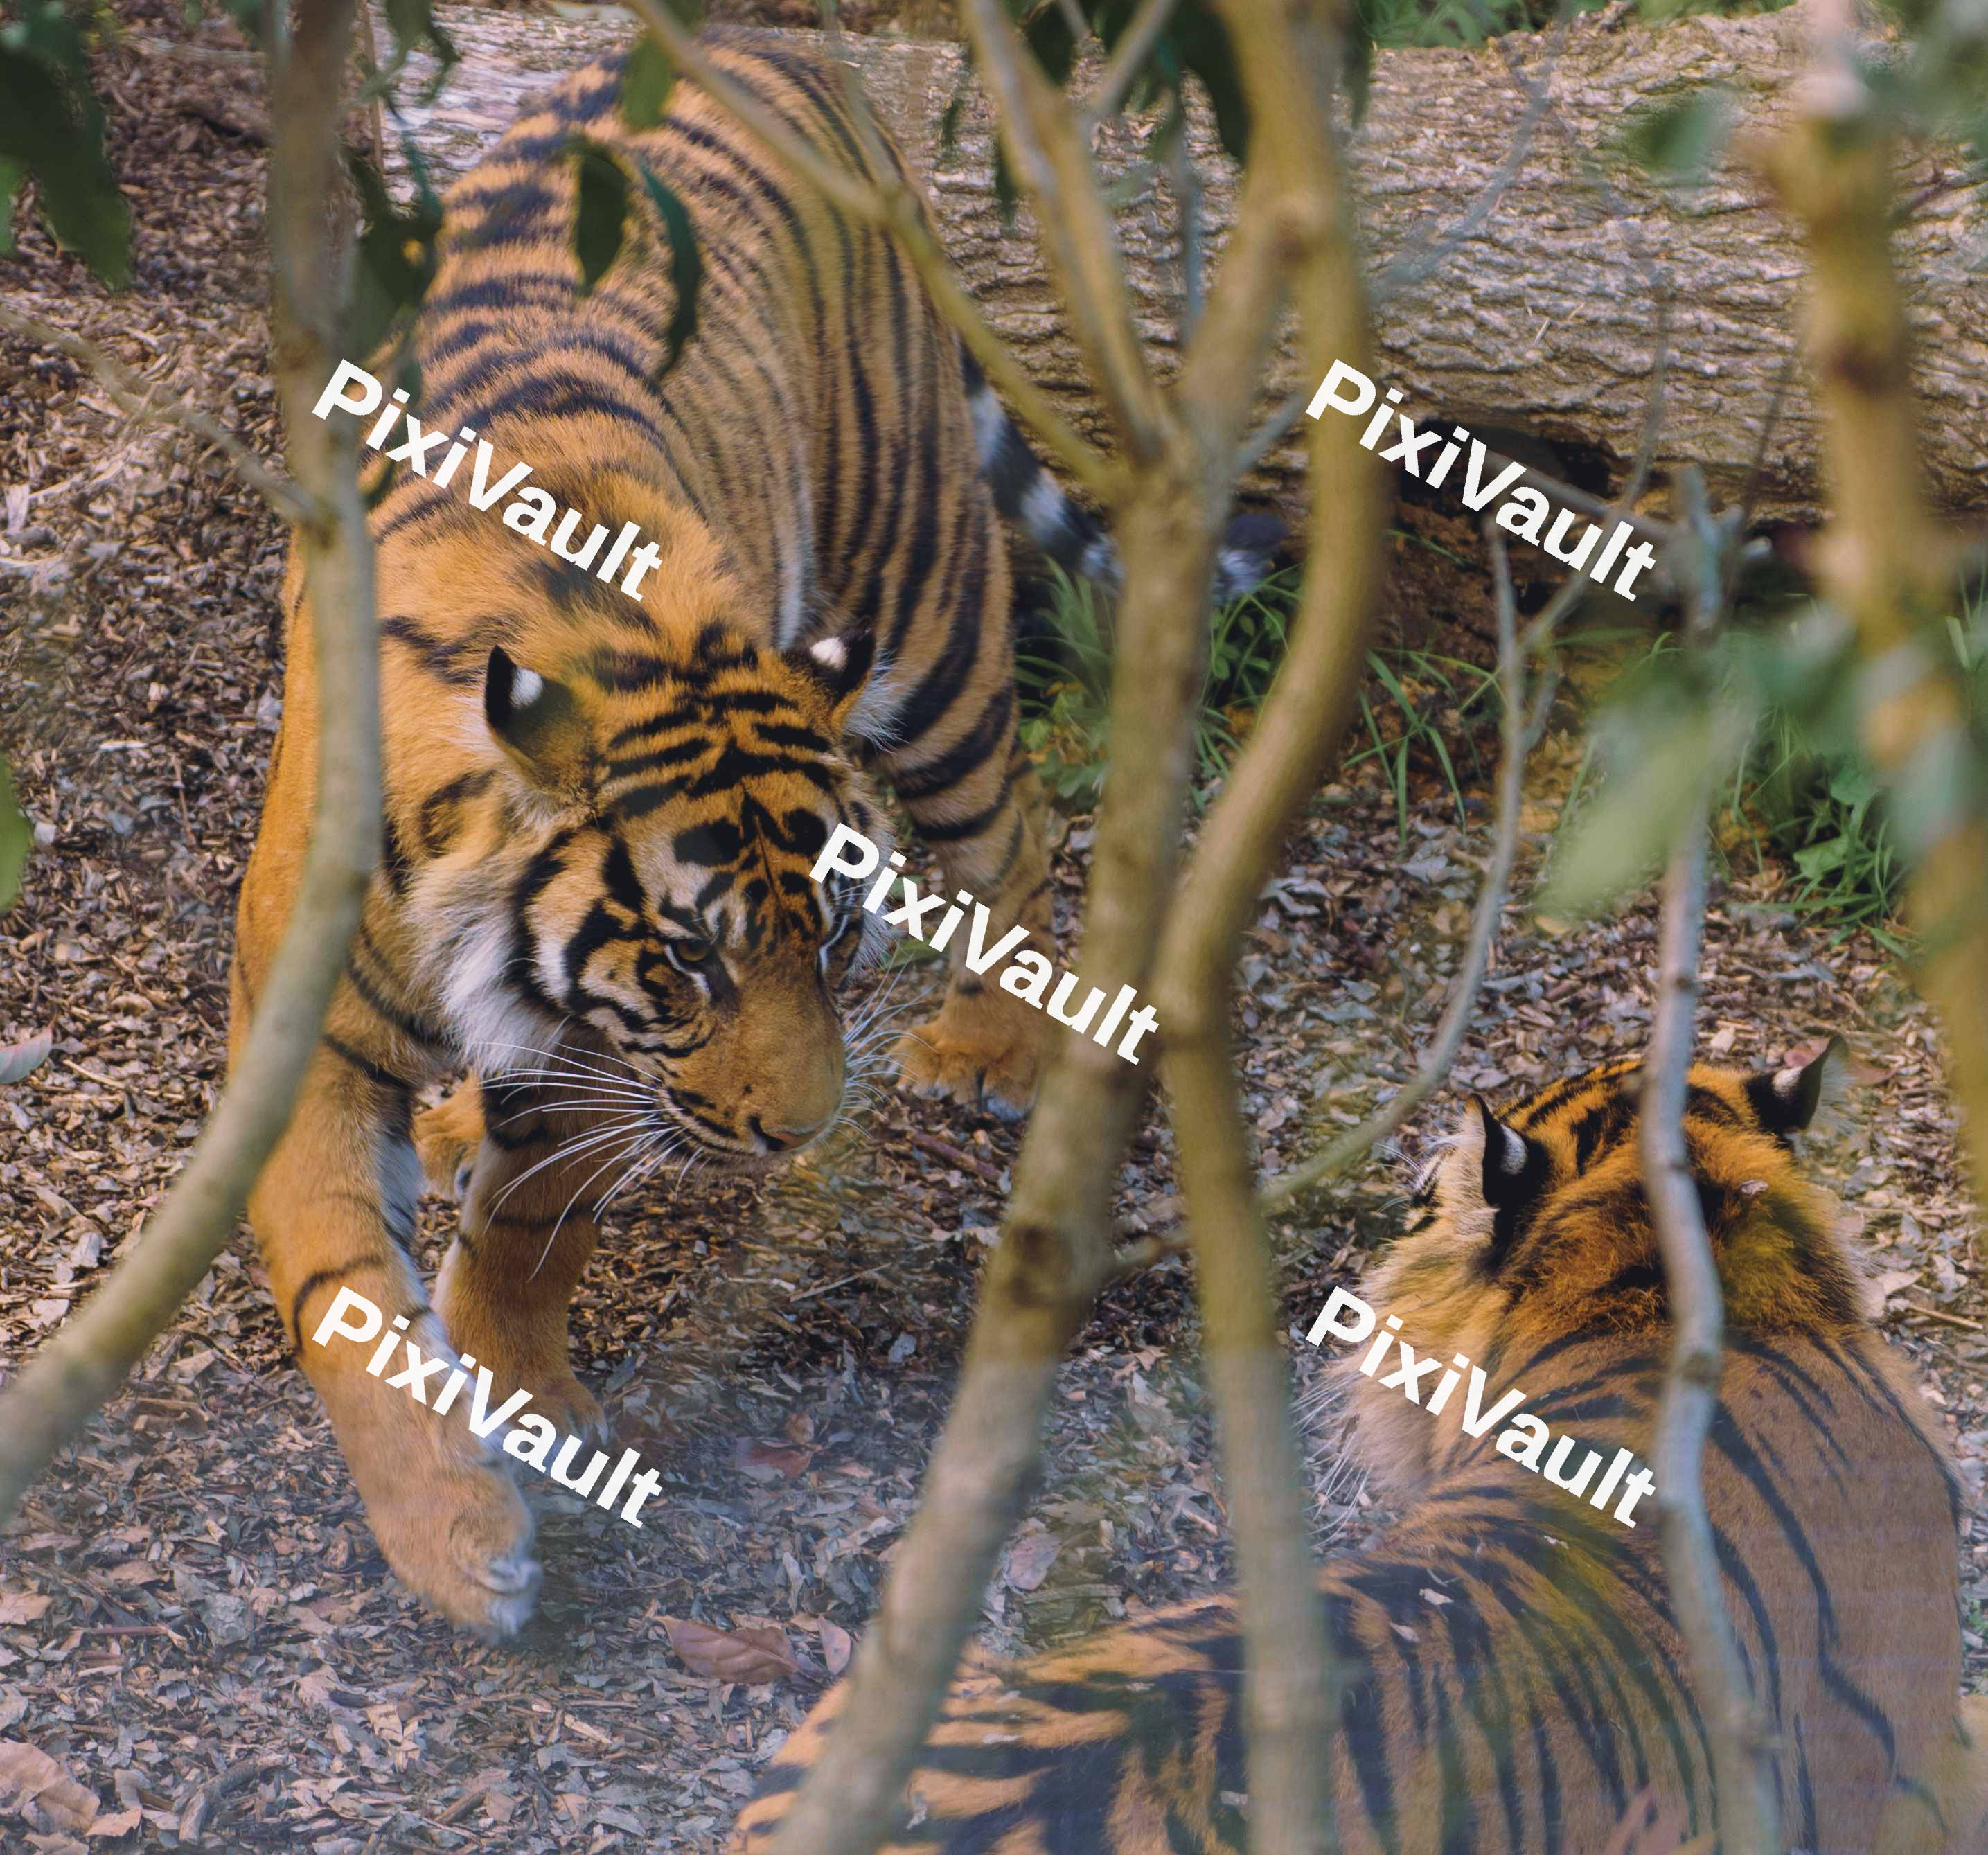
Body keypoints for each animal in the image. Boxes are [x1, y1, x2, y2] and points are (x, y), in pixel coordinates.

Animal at [229, 32, 1278, 1639]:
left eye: (836, 941)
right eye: (688, 966)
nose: (800, 1132)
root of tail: (765, 37)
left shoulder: (585, 1053)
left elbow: (536, 1223)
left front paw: (521, 1397)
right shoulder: (320, 1028)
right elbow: (347, 1286)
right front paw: (455, 1537)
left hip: (921, 611)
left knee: (1014, 822)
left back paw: (988, 1048)